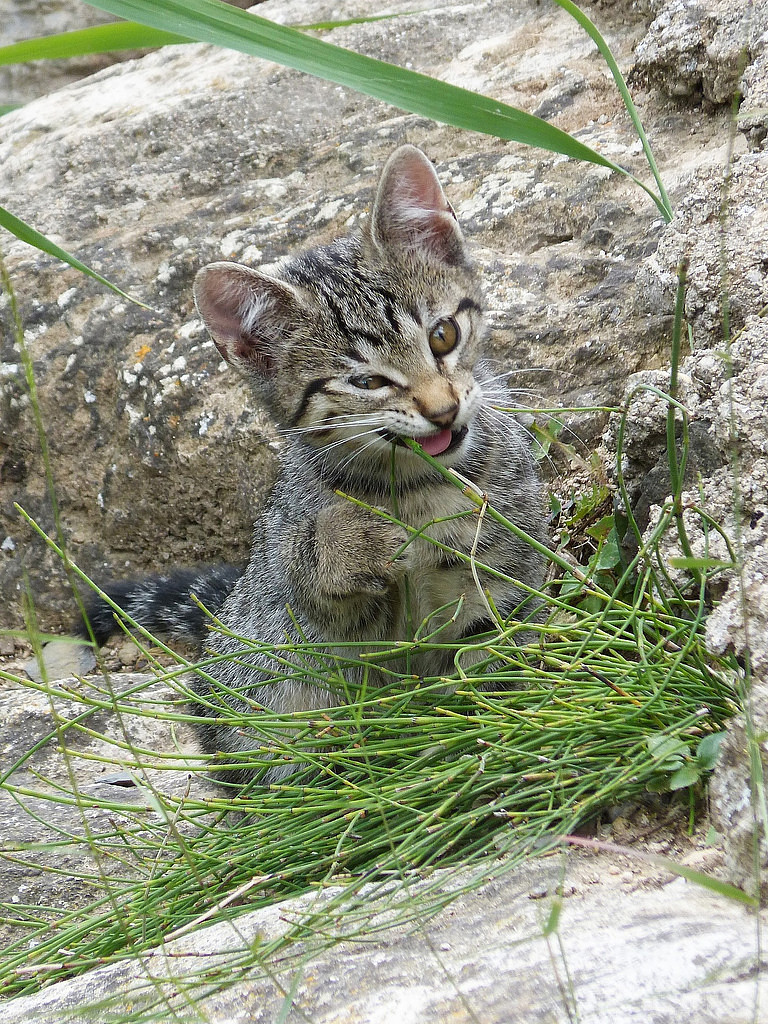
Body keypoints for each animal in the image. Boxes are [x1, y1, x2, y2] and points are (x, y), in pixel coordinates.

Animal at [85, 146, 548, 782]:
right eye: (367, 382)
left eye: (444, 334)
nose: (444, 409)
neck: (419, 488)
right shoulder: (319, 615)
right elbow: (314, 573)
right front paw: (352, 542)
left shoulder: (505, 575)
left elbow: (494, 660)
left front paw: (492, 732)